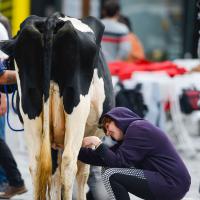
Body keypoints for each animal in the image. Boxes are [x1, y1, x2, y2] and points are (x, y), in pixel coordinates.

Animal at [0, 12, 115, 200]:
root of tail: (52, 19)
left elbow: (53, 178)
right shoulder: (88, 134)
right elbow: (82, 173)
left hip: (32, 108)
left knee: (37, 164)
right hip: (76, 110)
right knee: (69, 164)